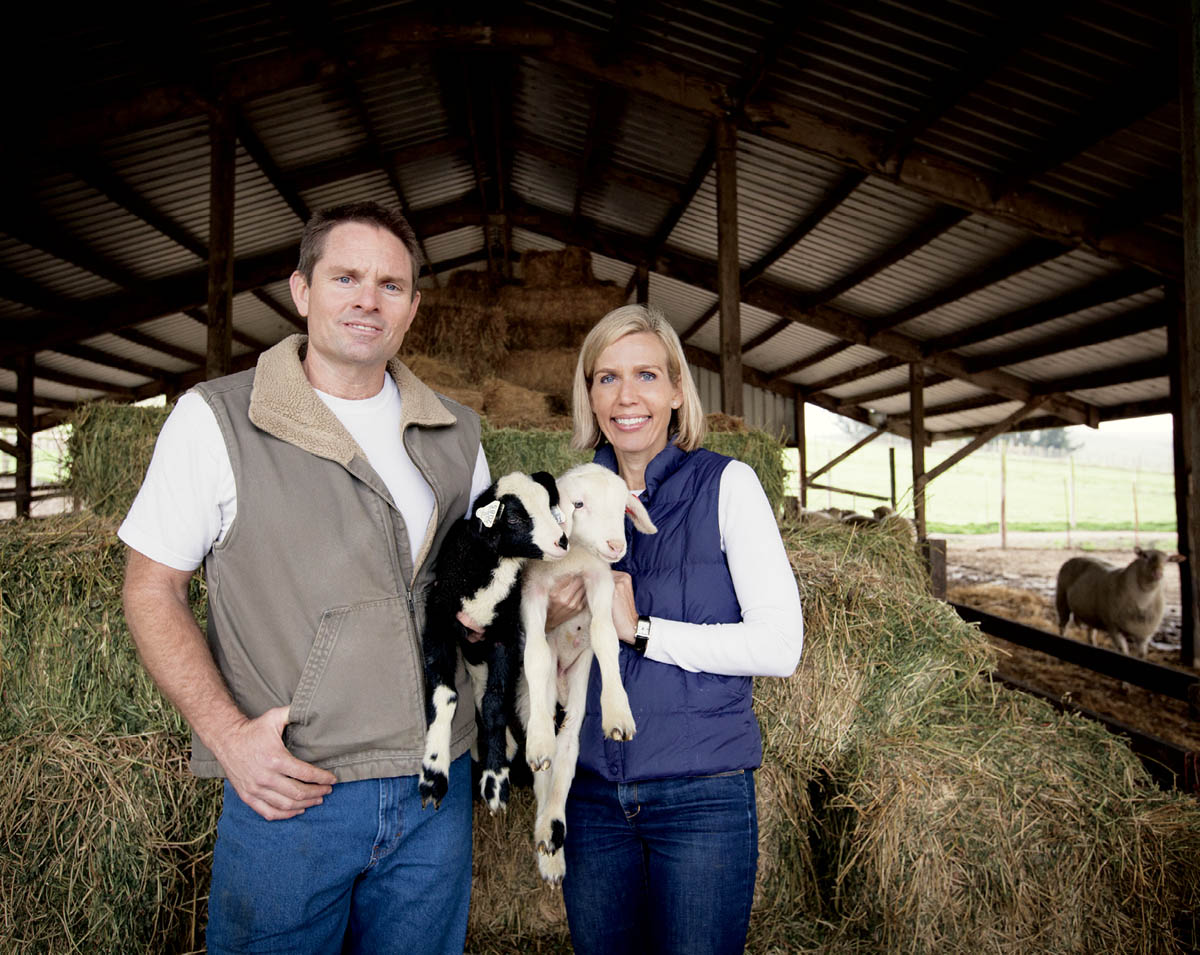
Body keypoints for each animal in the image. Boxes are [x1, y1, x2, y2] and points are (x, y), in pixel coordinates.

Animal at [422, 470, 571, 811]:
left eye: (549, 503)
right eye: (513, 518)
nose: (562, 541)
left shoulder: (505, 635)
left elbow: (495, 704)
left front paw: (495, 780)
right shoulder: (438, 620)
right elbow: (445, 696)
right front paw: (434, 774)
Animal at [520, 460, 662, 878]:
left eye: (622, 506)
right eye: (578, 504)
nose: (616, 545)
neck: (575, 558)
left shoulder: (600, 581)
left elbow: (604, 636)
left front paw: (618, 713)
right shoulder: (533, 591)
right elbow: (535, 652)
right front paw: (538, 740)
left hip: (580, 686)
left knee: (566, 753)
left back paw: (552, 833)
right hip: (527, 696)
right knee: (543, 770)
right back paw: (546, 840)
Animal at [1056, 544, 1185, 657]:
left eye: (1167, 560)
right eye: (1144, 556)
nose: (1158, 573)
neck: (1143, 601)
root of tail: (1076, 557)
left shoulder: (1144, 634)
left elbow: (1142, 655)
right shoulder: (1114, 628)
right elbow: (1124, 652)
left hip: (1091, 614)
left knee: (1091, 633)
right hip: (1062, 601)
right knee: (1063, 626)